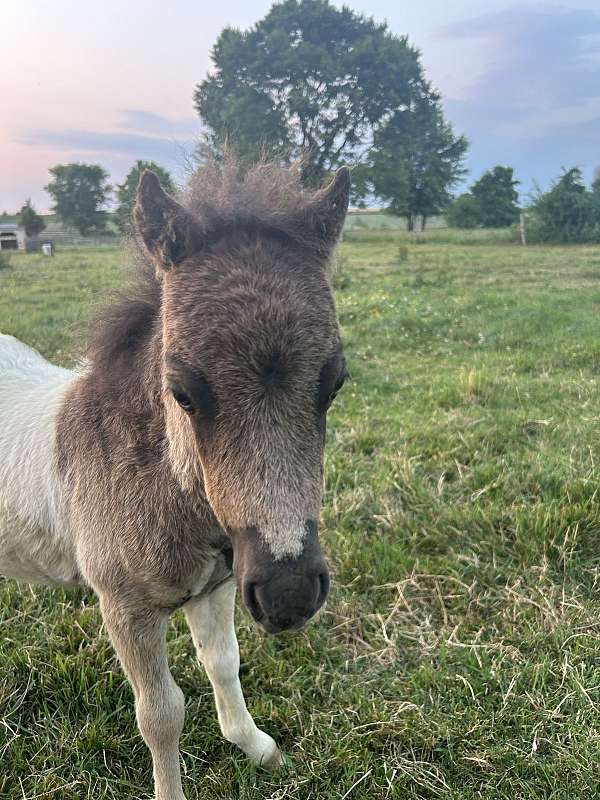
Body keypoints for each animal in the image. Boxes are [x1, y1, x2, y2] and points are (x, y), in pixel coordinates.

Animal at [0, 161, 350, 800]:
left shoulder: (218, 587)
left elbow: (224, 663)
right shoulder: (125, 609)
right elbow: (161, 713)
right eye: (182, 392)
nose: (288, 594)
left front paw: (259, 748)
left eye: (335, 382)